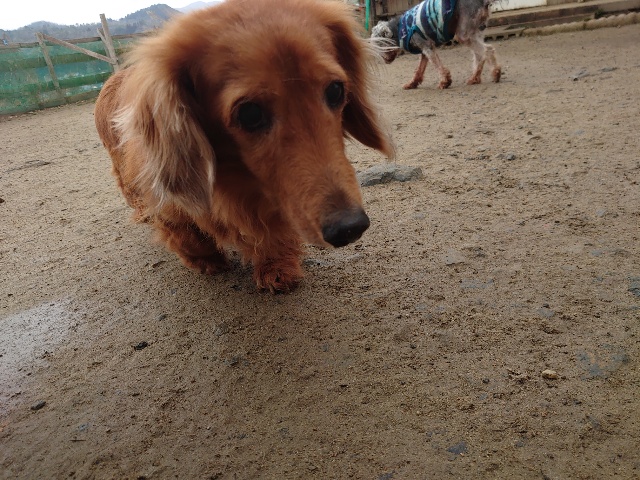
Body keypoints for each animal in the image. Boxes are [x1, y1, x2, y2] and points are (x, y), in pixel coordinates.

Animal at [94, 0, 393, 292]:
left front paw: (277, 265)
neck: (235, 188)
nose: (350, 228)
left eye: (336, 90)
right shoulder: (167, 203)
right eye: (250, 114)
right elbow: (186, 234)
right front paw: (207, 259)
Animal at [371, 0, 501, 89]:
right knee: (480, 55)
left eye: (378, 45)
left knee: (488, 50)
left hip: (464, 34)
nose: (379, 60)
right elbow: (419, 69)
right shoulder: (424, 50)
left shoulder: (427, 47)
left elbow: (437, 65)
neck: (399, 30)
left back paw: (496, 73)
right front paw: (412, 83)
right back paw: (474, 78)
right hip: (475, 31)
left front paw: (444, 82)